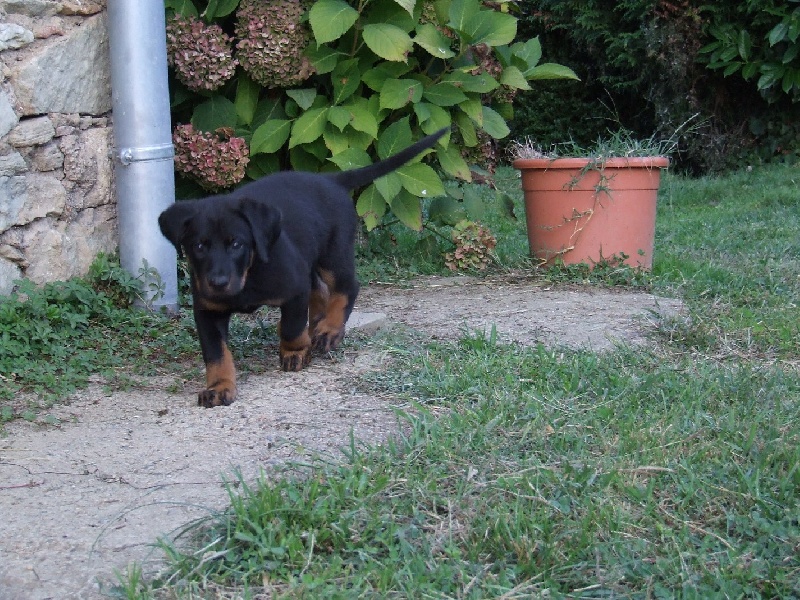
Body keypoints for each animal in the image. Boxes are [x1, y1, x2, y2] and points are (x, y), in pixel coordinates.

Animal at [159, 127, 446, 408]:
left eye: (236, 244)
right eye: (199, 246)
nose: (217, 283)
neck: (248, 275)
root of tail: (332, 180)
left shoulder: (294, 288)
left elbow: (291, 326)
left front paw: (296, 351)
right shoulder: (207, 310)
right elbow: (216, 353)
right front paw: (219, 387)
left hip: (333, 253)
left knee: (347, 287)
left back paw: (329, 330)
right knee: (319, 289)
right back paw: (318, 324)